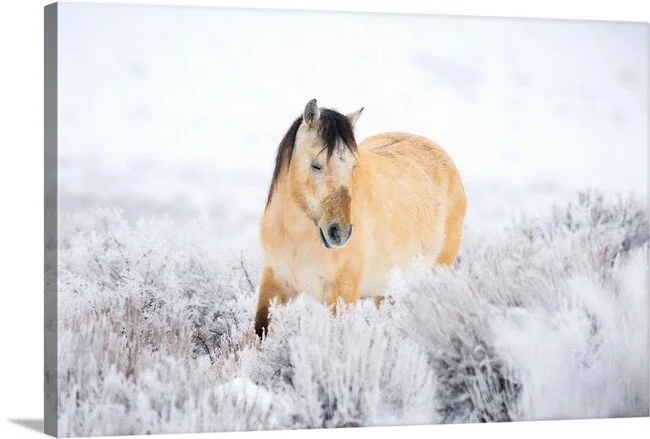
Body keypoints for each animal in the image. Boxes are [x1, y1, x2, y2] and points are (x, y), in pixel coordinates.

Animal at [254, 99, 467, 338]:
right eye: (316, 164)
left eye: (353, 166)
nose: (339, 232)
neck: (297, 237)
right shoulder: (276, 279)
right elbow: (260, 328)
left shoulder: (342, 293)